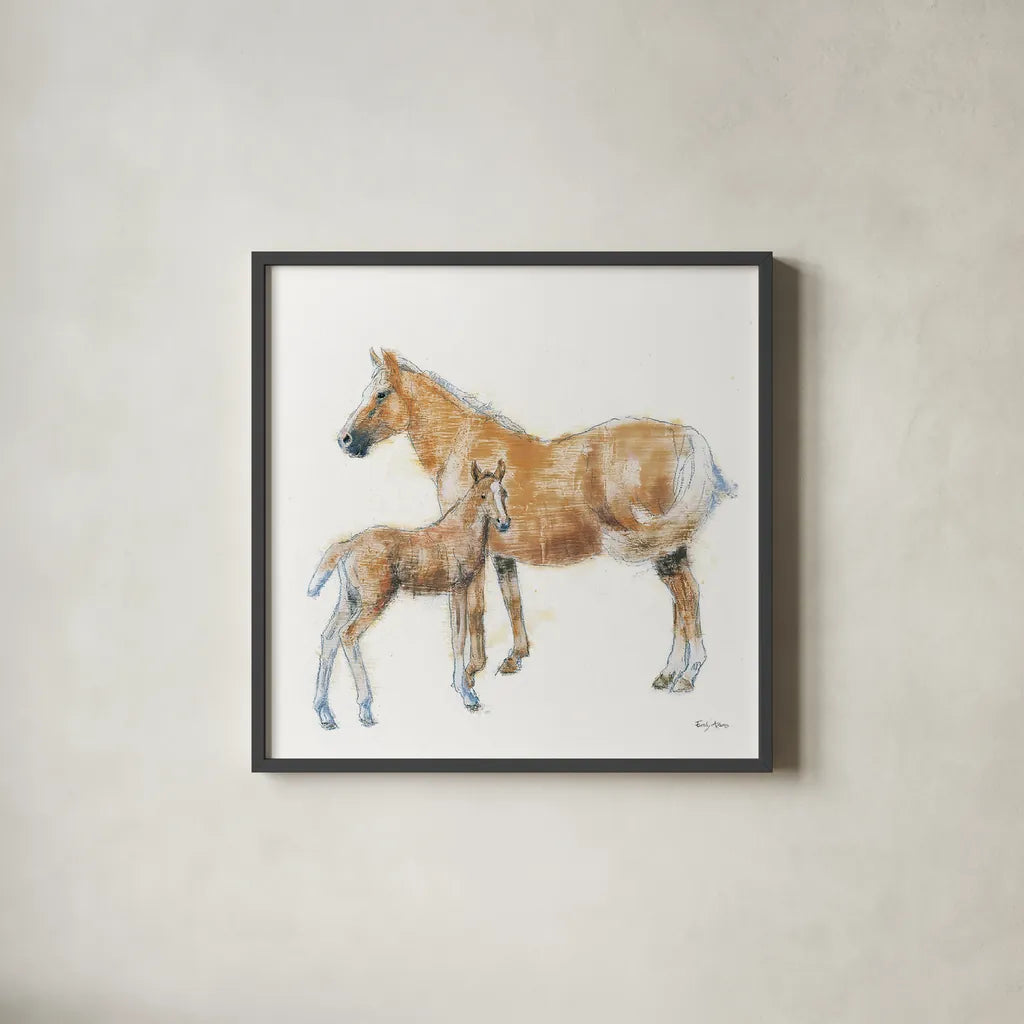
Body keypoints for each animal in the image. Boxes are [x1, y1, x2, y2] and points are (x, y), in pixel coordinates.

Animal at [307, 460, 511, 728]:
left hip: (349, 599)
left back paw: (325, 714)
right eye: (483, 495)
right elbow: (458, 638)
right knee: (348, 635)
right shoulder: (457, 589)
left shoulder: (458, 590)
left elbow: (462, 633)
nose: (504, 522)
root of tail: (349, 545)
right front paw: (467, 695)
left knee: (329, 636)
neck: (458, 533)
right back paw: (365, 709)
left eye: (504, 493)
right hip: (373, 601)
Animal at [337, 349, 735, 694]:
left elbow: (476, 609)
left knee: (687, 597)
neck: (463, 447)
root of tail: (683, 436)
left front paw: (472, 670)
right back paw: (669, 674)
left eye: (381, 394)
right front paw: (514, 658)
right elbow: (512, 600)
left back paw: (686, 676)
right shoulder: (502, 553)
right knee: (682, 600)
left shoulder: (476, 554)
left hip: (663, 547)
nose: (345, 440)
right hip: (669, 546)